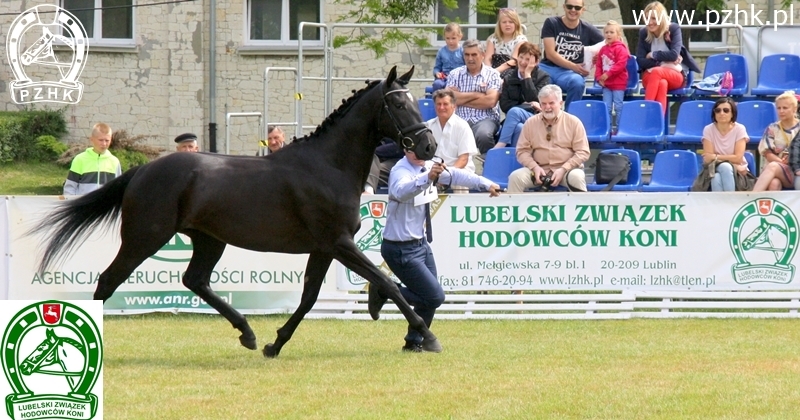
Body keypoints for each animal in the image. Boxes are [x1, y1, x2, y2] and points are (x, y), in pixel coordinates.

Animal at [31, 66, 440, 358]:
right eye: (398, 104)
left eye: (415, 101)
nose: (429, 145)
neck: (328, 166)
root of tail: (143, 170)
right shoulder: (339, 243)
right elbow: (387, 281)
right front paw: (427, 334)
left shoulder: (324, 248)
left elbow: (309, 297)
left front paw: (276, 344)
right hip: (144, 237)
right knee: (107, 282)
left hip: (209, 240)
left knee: (195, 280)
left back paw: (248, 333)